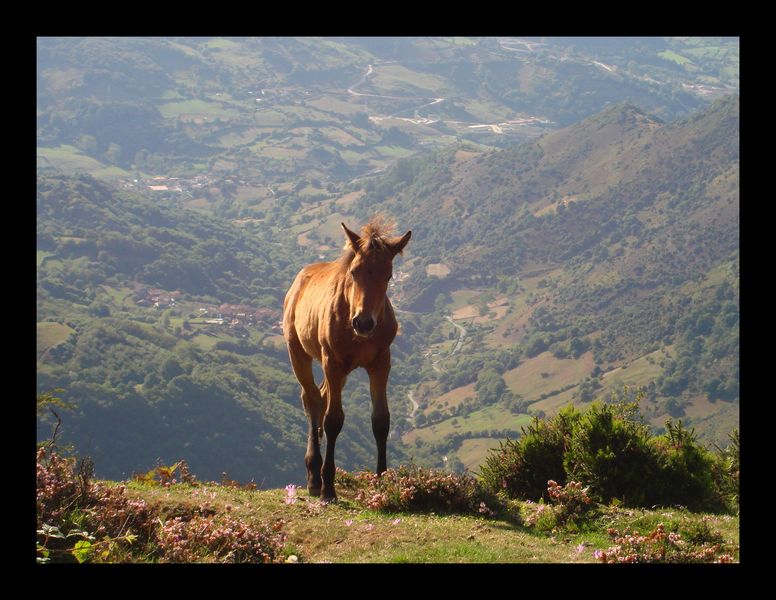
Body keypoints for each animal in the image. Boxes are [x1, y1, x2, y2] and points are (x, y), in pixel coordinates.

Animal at [280, 219, 412, 502]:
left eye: (388, 275)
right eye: (354, 272)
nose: (363, 322)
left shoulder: (381, 363)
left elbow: (381, 421)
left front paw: (381, 480)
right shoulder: (332, 361)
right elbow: (333, 421)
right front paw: (328, 488)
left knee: (320, 396)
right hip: (299, 353)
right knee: (311, 399)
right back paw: (314, 477)